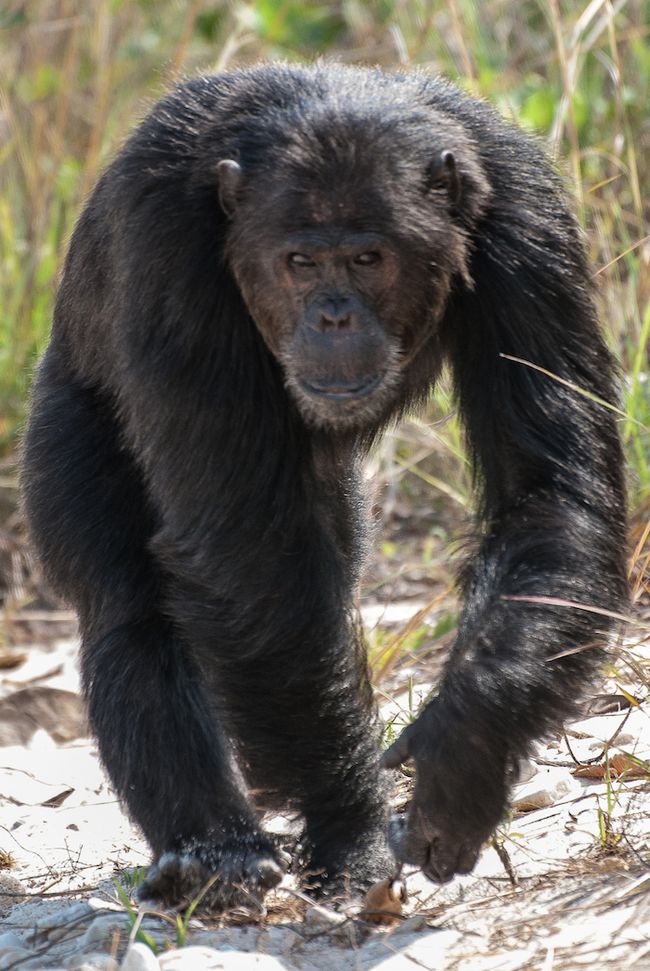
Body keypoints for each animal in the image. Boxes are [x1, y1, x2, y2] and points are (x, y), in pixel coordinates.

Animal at [22, 62, 624, 912]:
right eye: (300, 262)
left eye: (369, 258)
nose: (333, 316)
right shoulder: (165, 248)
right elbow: (244, 560)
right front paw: (352, 829)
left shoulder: (527, 224)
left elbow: (547, 484)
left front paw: (469, 743)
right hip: (66, 416)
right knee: (132, 608)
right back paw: (214, 853)